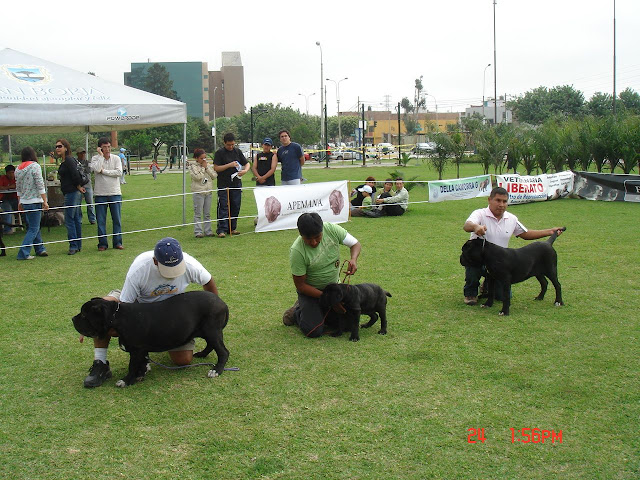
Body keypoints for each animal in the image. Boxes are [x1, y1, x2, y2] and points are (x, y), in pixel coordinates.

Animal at [72, 288, 230, 386]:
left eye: (84, 315)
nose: (73, 319)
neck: (117, 316)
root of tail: (222, 302)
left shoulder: (136, 350)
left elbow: (132, 366)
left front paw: (126, 381)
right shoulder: (141, 350)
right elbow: (142, 362)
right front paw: (140, 374)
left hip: (211, 330)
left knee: (223, 352)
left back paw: (216, 370)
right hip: (207, 331)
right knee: (211, 345)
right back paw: (202, 354)